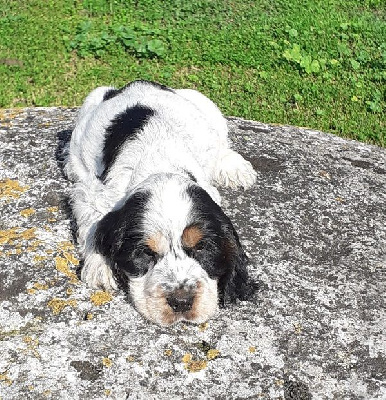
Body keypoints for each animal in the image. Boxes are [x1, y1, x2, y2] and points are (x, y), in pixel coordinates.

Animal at [65, 79, 258, 324]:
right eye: (146, 253)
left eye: (202, 247)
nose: (181, 301)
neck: (161, 162)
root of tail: (138, 82)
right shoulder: (91, 195)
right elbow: (93, 225)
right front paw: (100, 267)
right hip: (89, 105)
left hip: (205, 104)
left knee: (221, 144)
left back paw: (236, 169)